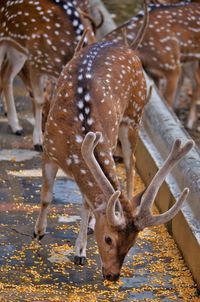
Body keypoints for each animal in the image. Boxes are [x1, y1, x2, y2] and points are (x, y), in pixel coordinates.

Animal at [0, 0, 99, 151]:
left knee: (6, 76)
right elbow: (40, 100)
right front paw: (38, 142)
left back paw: (16, 126)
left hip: (16, 47)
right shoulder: (35, 60)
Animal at [104, 1, 200, 129]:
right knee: (194, 82)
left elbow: (167, 102)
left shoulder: (172, 66)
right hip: (189, 59)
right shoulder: (154, 73)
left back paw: (189, 122)